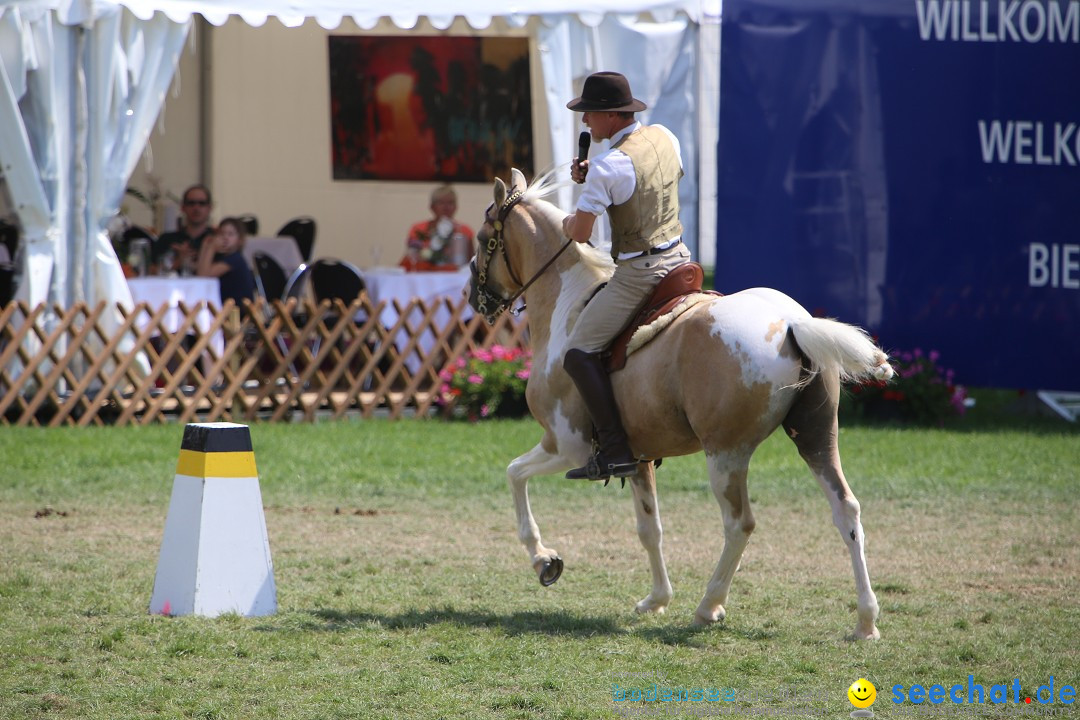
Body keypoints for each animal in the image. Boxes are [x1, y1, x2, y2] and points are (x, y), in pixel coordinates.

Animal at [468, 170, 889, 643]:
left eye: (484, 237)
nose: (472, 295)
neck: (568, 304)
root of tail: (791, 323)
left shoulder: (565, 446)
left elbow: (514, 475)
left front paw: (544, 560)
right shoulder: (635, 457)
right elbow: (649, 528)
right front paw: (656, 599)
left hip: (725, 455)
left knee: (739, 524)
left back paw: (709, 606)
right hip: (816, 438)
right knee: (846, 510)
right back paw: (865, 621)